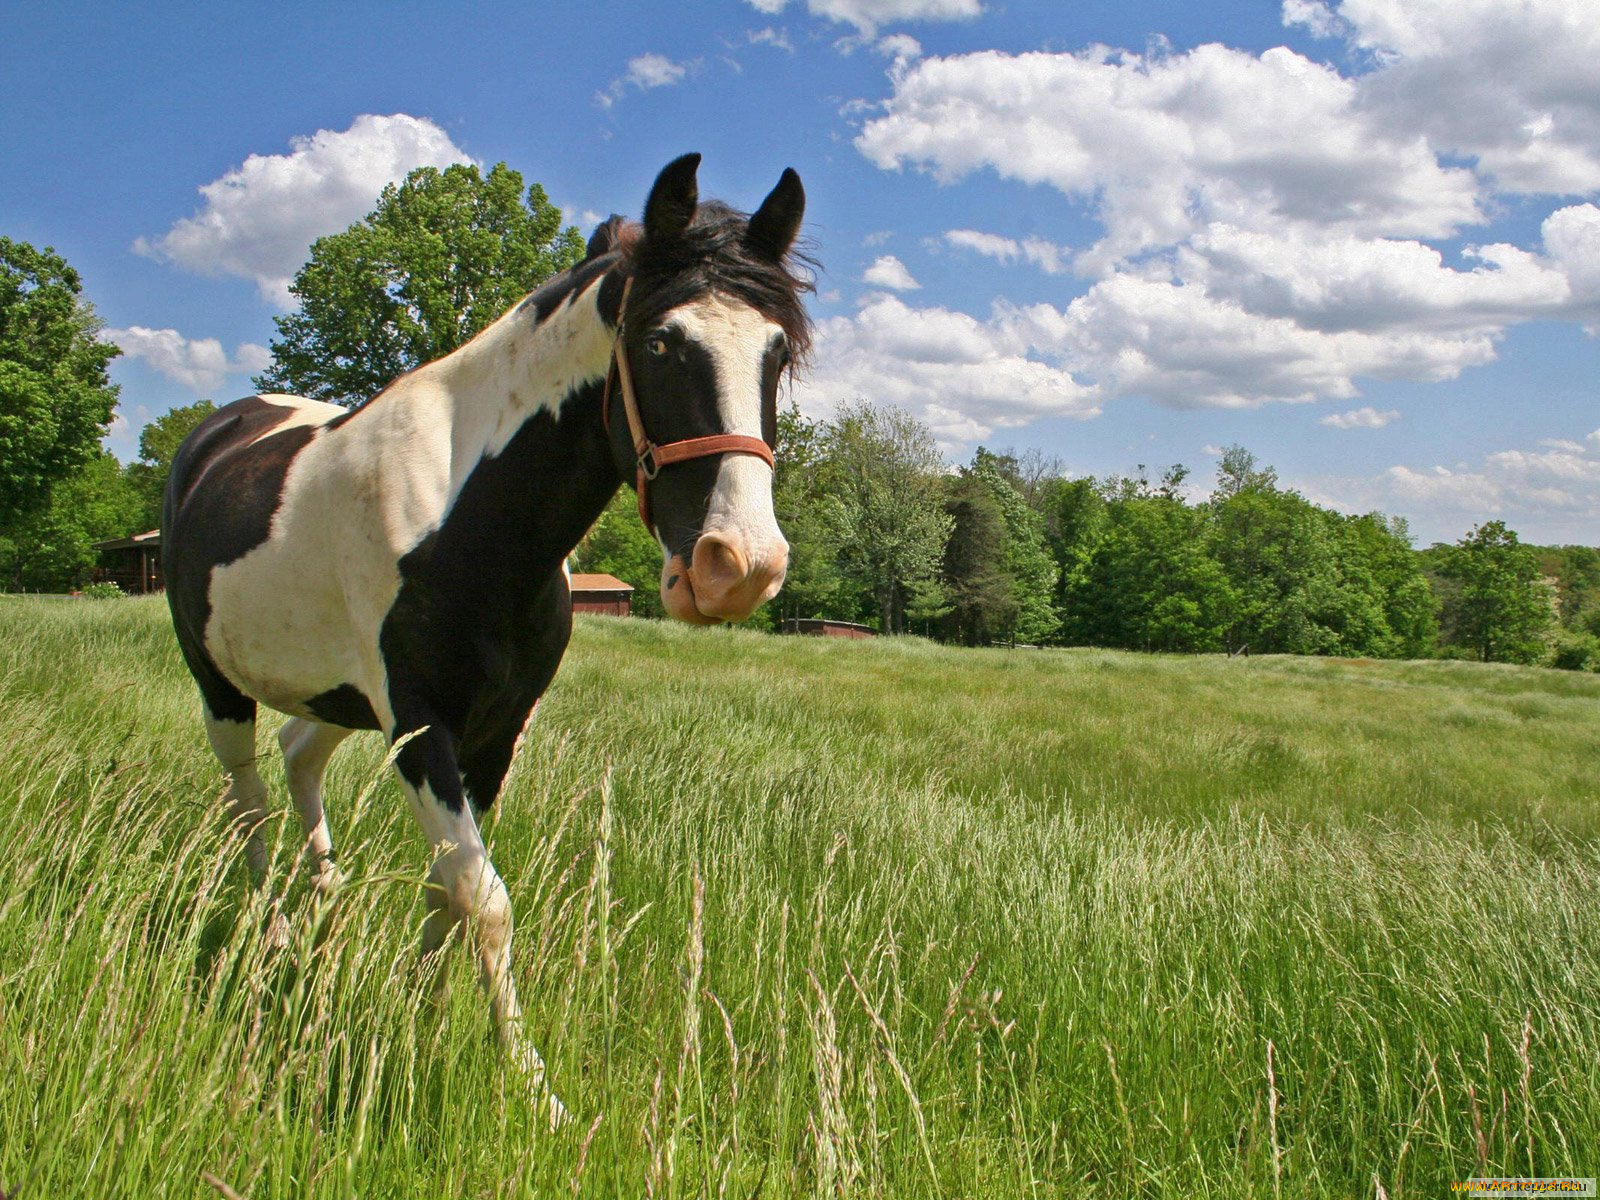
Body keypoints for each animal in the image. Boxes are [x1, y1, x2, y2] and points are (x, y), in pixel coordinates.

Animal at [162, 155, 812, 1126]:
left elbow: (449, 885)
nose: (739, 565)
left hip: (341, 700)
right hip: (221, 685)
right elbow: (484, 896)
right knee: (249, 795)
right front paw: (533, 1088)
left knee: (298, 754)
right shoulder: (422, 728)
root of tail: (217, 433)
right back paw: (273, 933)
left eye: (778, 352)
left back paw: (324, 905)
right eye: (660, 343)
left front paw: (416, 1008)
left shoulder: (491, 733)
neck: (467, 514)